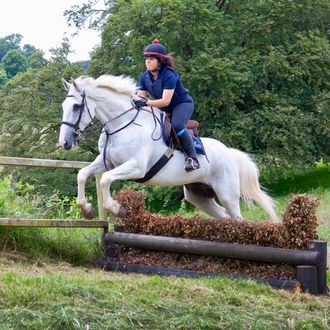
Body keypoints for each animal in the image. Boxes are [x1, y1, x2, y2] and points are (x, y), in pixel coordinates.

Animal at [58, 75, 278, 222]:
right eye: (63, 106)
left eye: (76, 106)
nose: (65, 143)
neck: (122, 124)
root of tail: (229, 152)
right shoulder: (107, 163)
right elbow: (83, 174)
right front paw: (86, 209)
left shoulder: (136, 167)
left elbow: (105, 179)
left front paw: (116, 208)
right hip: (199, 196)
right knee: (224, 217)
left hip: (227, 194)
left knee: (237, 218)